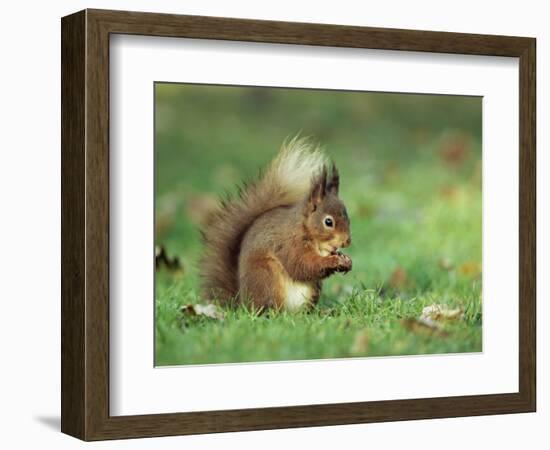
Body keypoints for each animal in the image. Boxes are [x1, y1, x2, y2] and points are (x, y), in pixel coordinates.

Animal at [202, 137, 354, 312]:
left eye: (348, 217)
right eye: (328, 222)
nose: (347, 241)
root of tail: (243, 304)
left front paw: (346, 259)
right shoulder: (289, 244)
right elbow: (301, 265)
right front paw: (334, 261)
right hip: (267, 276)